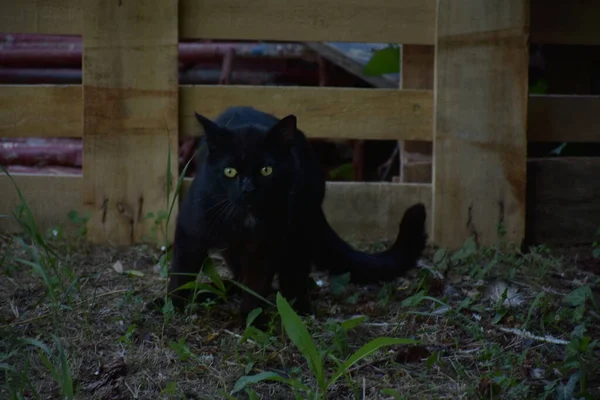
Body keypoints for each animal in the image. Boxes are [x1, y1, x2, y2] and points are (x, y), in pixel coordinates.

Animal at [164, 106, 426, 322]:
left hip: (300, 228)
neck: (246, 220)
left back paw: (298, 308)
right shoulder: (190, 230)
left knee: (294, 272)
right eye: (230, 171)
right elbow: (181, 271)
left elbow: (256, 283)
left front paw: (251, 320)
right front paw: (174, 305)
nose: (248, 189)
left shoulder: (268, 245)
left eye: (266, 170)